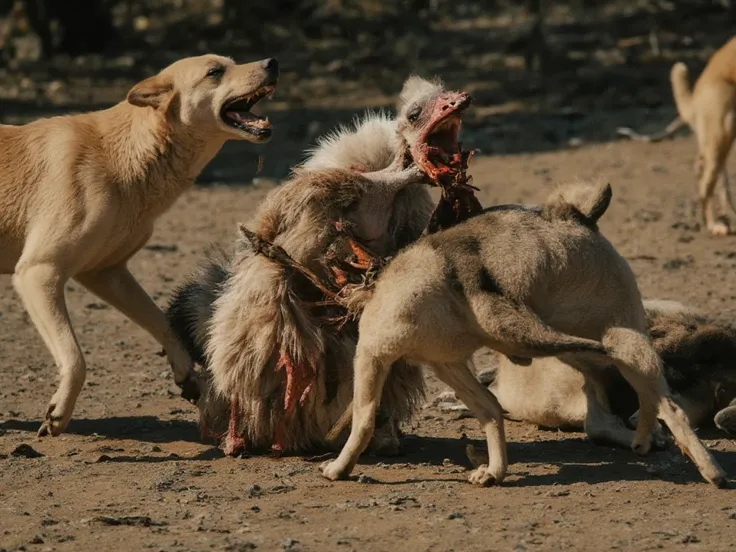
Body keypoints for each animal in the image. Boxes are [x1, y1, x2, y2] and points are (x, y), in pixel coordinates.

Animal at [0, 54, 278, 438]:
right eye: (215, 72)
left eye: (233, 62)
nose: (272, 62)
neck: (122, 154)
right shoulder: (38, 273)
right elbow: (76, 359)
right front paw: (58, 413)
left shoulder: (106, 274)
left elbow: (162, 323)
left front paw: (186, 374)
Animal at [165, 75, 472, 454]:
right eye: (415, 113)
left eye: (450, 96)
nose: (459, 101)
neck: (382, 189)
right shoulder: (313, 206)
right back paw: (244, 436)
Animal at [320, 182, 728, 488]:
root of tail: (577, 220)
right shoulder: (448, 365)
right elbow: (489, 410)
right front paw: (495, 470)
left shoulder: (372, 354)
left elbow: (363, 418)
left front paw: (340, 466)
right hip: (604, 345)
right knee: (650, 396)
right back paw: (644, 440)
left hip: (603, 338)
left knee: (668, 406)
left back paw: (711, 471)